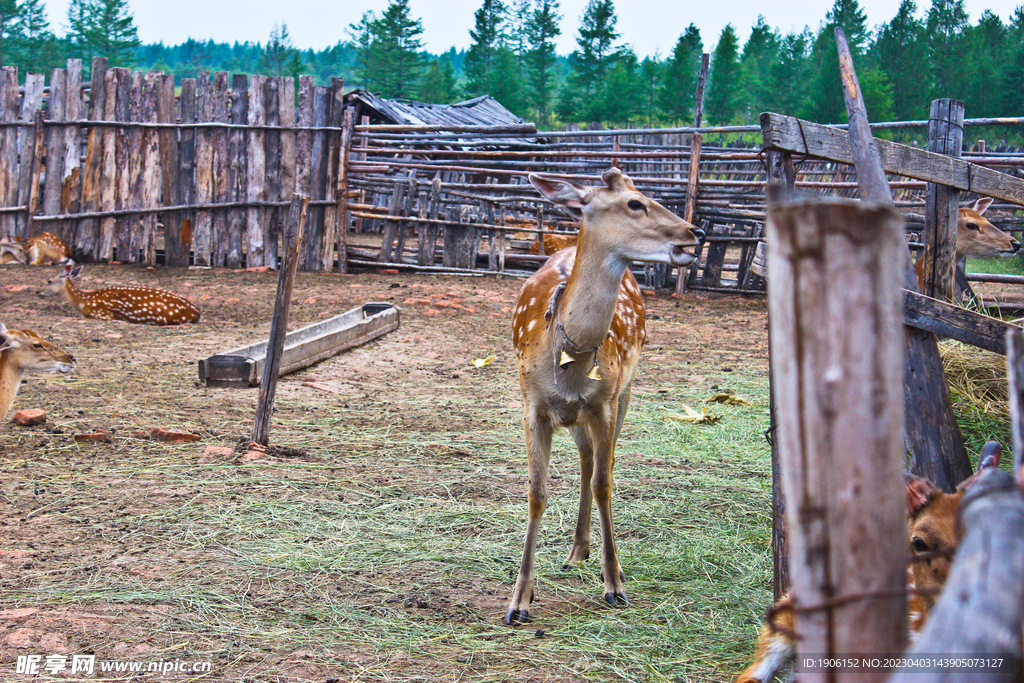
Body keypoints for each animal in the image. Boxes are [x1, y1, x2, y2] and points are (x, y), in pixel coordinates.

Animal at [503, 168, 705, 625]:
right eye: (634, 203)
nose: (695, 232)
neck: (569, 363)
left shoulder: (604, 402)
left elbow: (605, 483)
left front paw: (615, 583)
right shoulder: (532, 406)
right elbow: (537, 493)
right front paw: (519, 600)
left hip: (625, 391)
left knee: (602, 462)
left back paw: (593, 555)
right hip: (577, 416)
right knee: (585, 460)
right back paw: (577, 550)